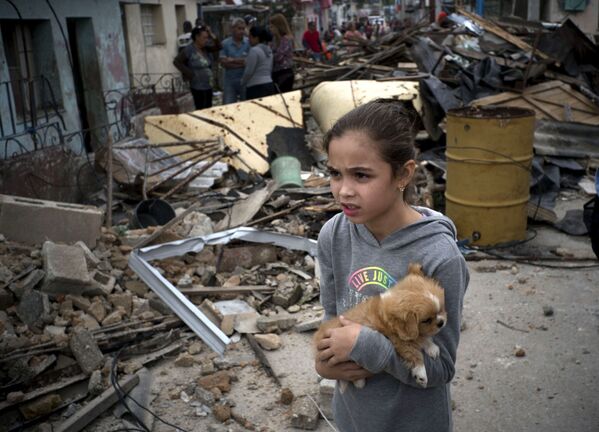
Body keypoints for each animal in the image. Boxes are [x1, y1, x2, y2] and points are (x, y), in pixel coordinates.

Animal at [314, 262, 446, 390]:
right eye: (427, 320)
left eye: (441, 309)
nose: (441, 322)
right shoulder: (400, 342)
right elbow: (415, 353)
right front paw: (421, 373)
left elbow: (423, 338)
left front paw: (432, 347)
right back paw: (359, 381)